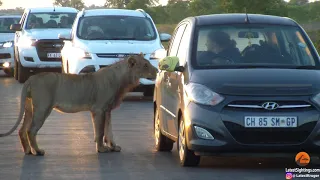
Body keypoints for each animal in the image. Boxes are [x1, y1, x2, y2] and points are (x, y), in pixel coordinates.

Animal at [0, 52, 158, 155]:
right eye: (145, 65)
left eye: (149, 63)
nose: (157, 70)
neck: (123, 79)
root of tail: (31, 79)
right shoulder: (99, 109)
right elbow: (100, 131)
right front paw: (101, 149)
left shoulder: (107, 110)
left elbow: (109, 130)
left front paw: (113, 147)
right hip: (42, 108)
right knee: (31, 130)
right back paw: (38, 151)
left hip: (29, 107)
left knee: (22, 130)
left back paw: (28, 151)